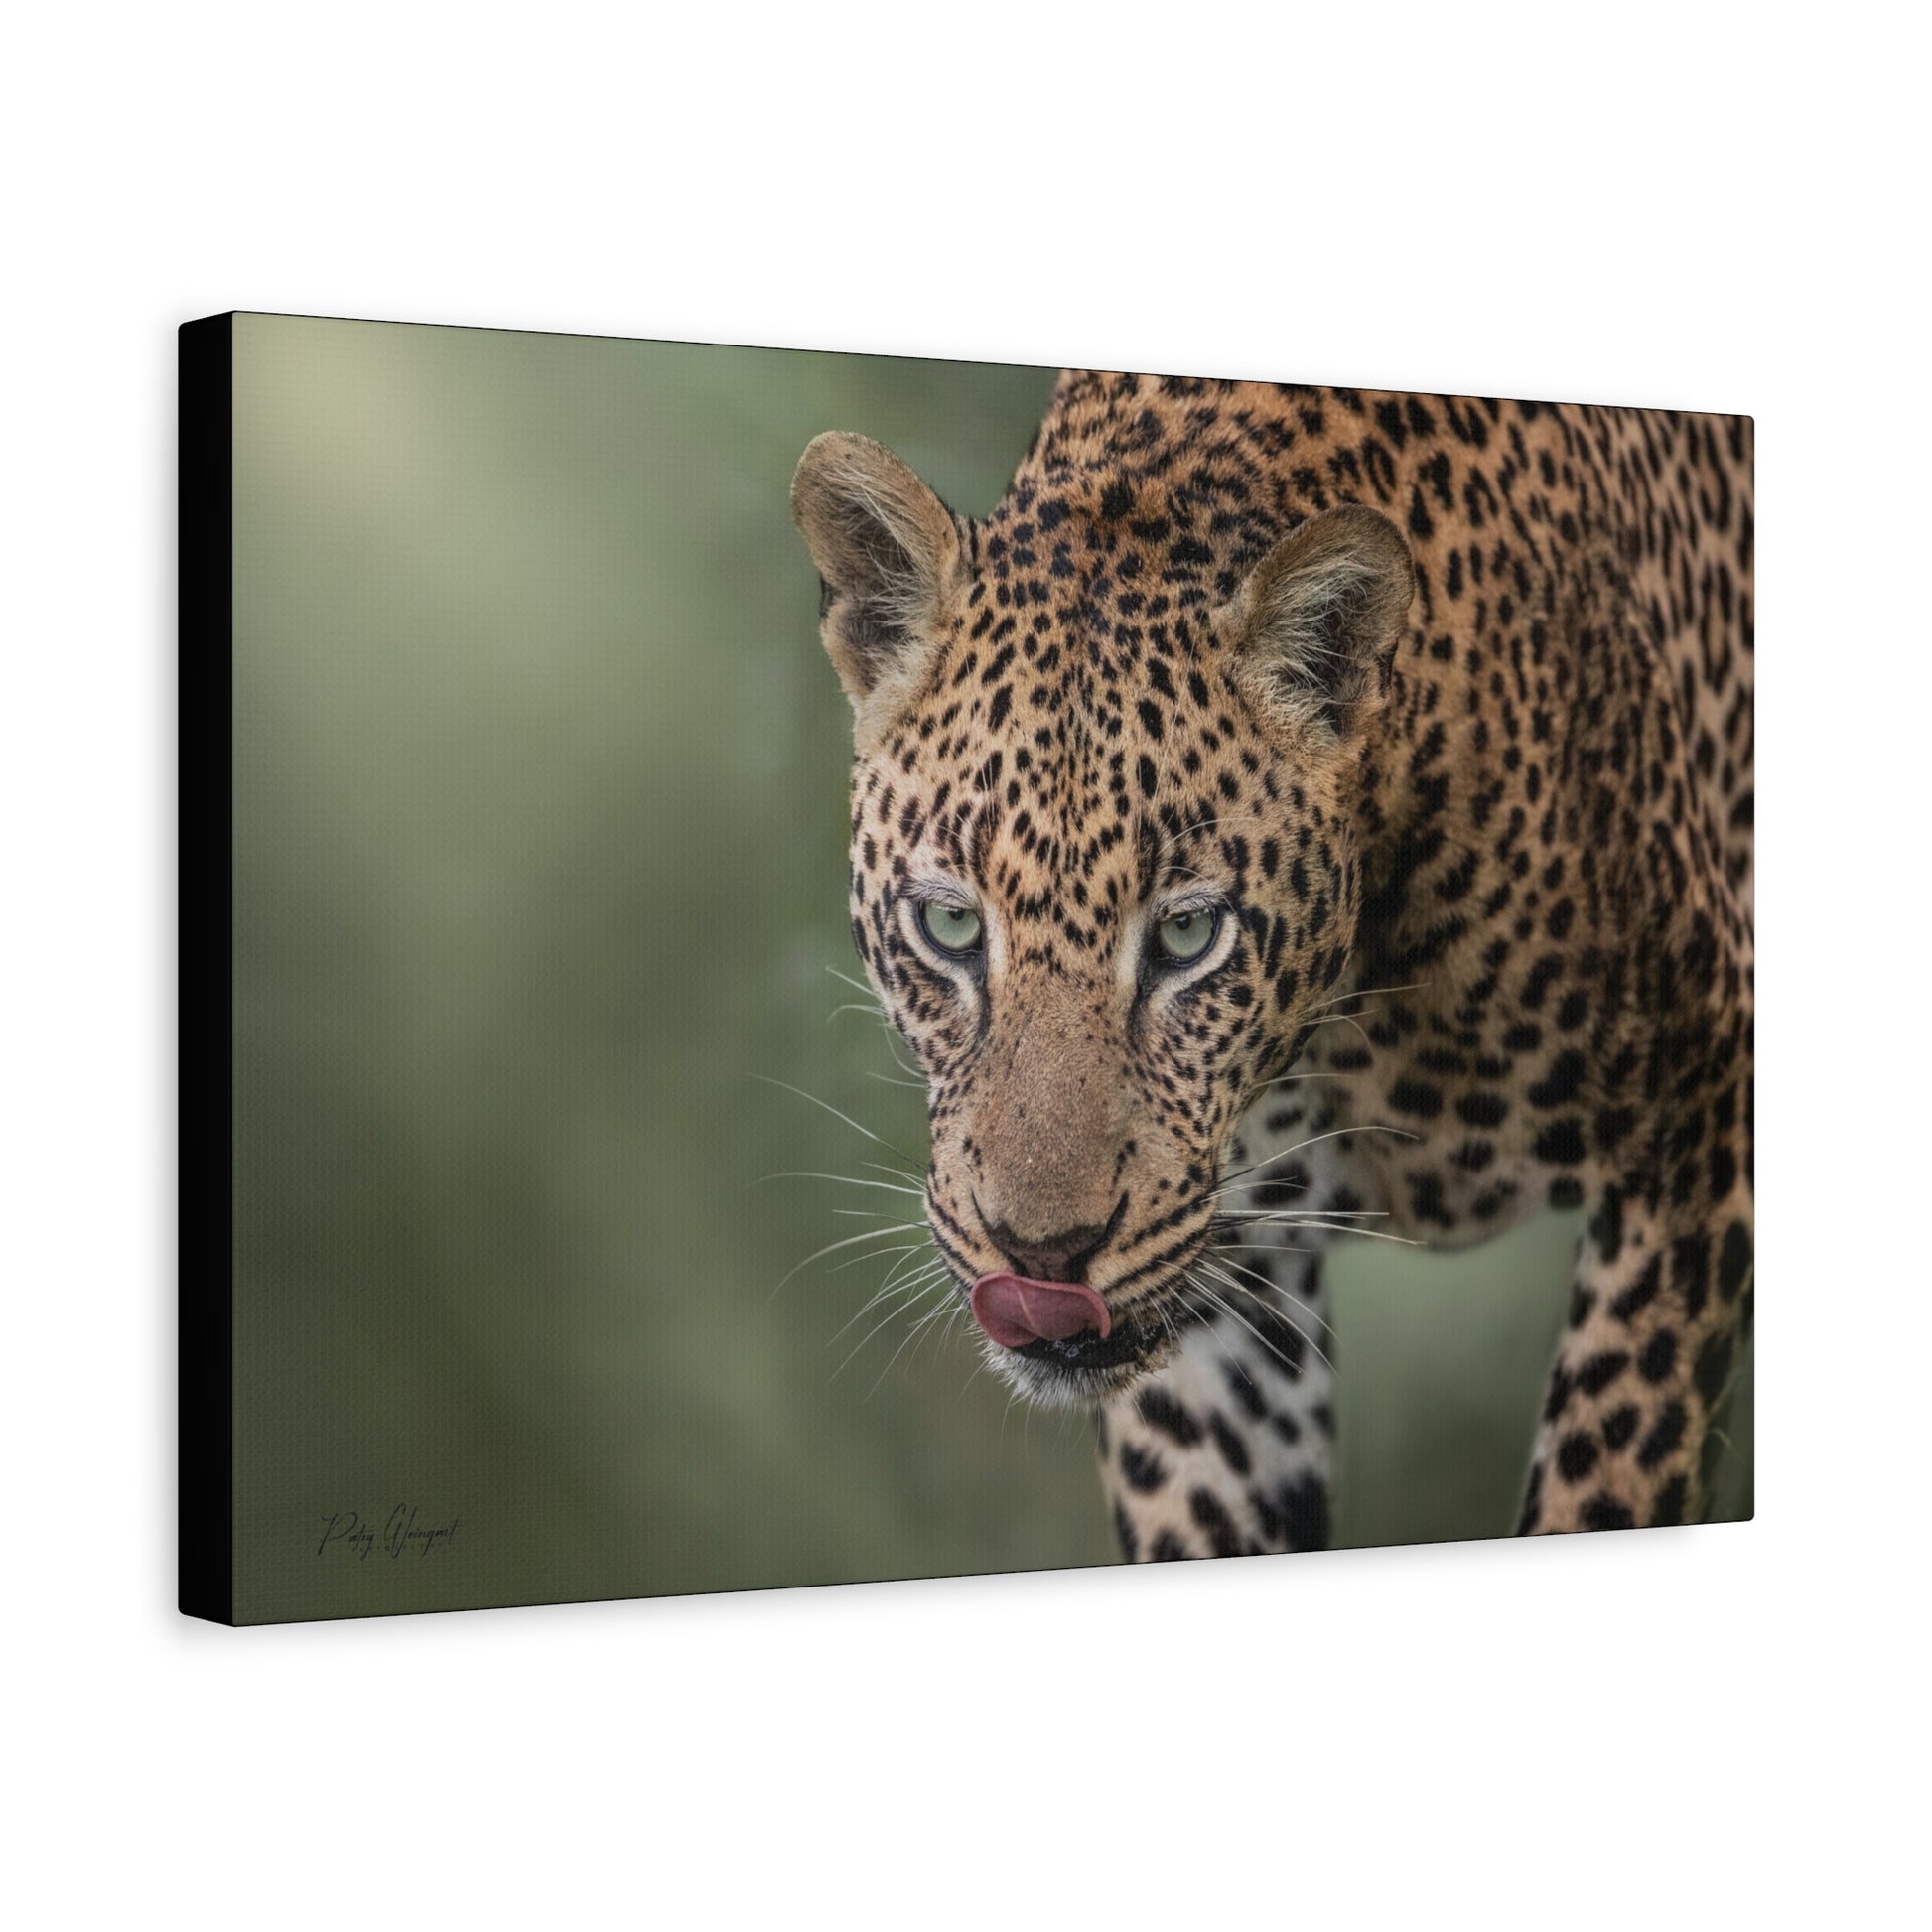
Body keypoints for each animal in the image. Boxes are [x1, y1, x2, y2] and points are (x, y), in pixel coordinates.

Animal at [791, 372, 1752, 1557]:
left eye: (1186, 936)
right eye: (952, 928)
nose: (1042, 1261)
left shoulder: (1698, 1123)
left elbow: (1609, 1465)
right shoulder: (1215, 1285)